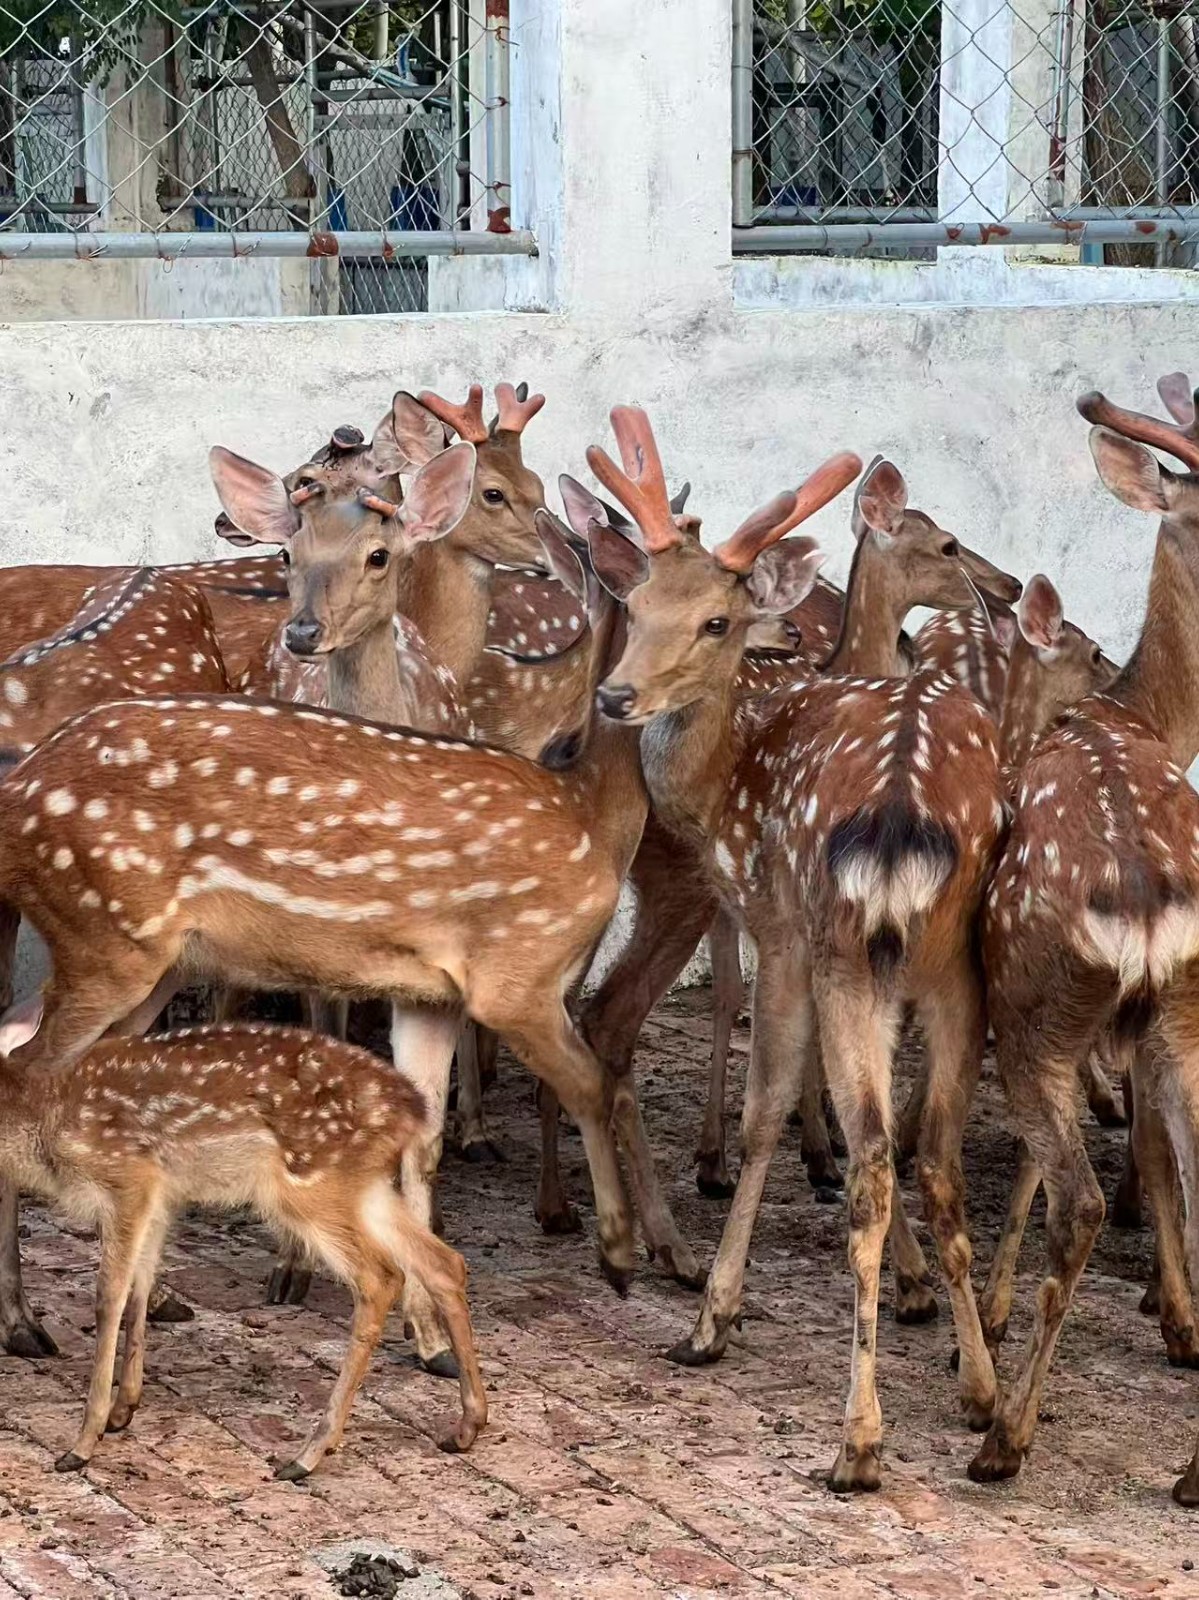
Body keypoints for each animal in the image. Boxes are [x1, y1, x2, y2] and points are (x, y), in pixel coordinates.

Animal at [0, 999, 485, 1478]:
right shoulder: (159, 1196)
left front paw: (83, 1442)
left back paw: (307, 1455)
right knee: (443, 1263)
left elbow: (108, 1298)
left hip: (308, 1185)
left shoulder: (129, 1178)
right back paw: (467, 1425)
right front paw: (124, 1410)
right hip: (362, 1186)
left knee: (380, 1278)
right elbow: (141, 1287)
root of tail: (412, 1109)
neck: (46, 1119)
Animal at [580, 406, 1005, 1492]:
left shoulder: (776, 926)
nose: (617, 696)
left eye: (715, 621)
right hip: (942, 961)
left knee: (879, 1152)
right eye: (637, 601)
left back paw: (857, 1436)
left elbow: (769, 1106)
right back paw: (978, 1403)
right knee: (926, 1149)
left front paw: (714, 1318)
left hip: (841, 945)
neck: (727, 783)